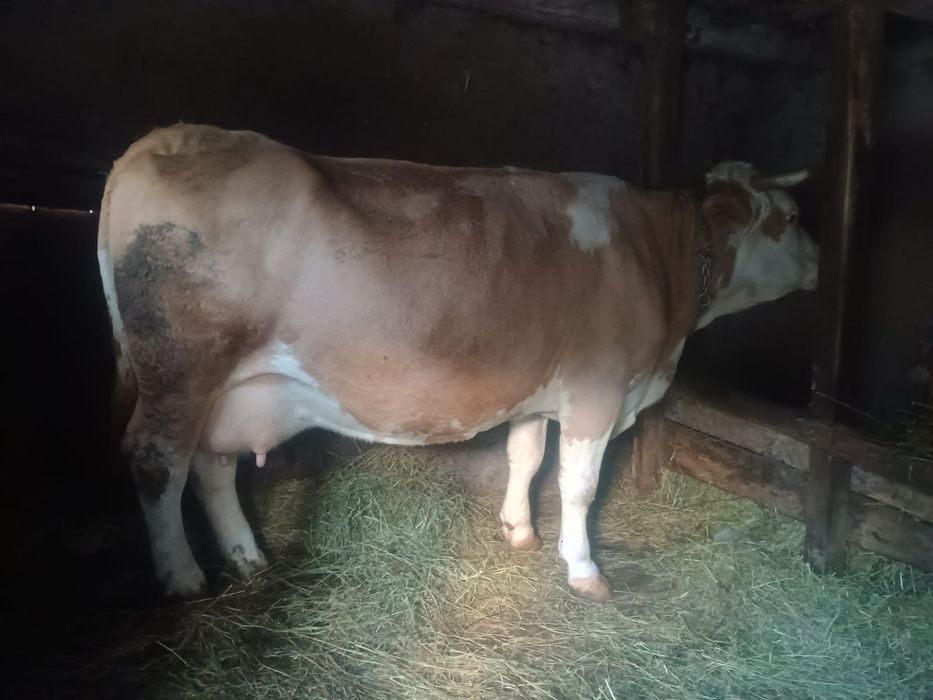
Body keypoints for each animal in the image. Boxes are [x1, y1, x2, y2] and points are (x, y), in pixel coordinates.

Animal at [97, 124, 818, 601]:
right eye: (785, 217)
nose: (819, 263)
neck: (659, 264)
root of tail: (164, 139)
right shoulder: (599, 389)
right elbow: (578, 485)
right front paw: (584, 570)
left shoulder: (538, 387)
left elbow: (525, 457)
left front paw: (519, 531)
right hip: (179, 369)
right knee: (158, 460)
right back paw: (182, 575)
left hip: (227, 388)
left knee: (212, 464)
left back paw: (247, 557)